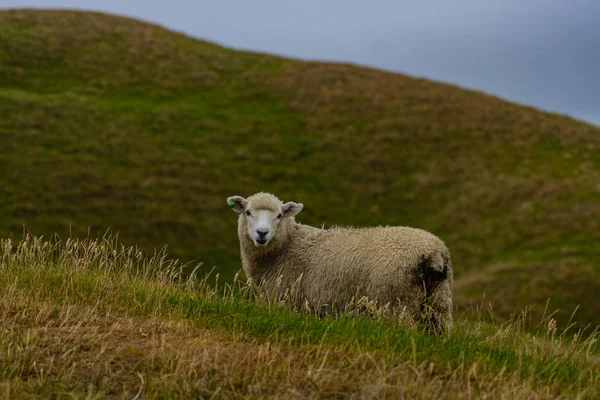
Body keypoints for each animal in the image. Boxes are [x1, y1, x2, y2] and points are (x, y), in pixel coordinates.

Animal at [227, 191, 452, 332]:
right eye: (248, 212)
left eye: (279, 215)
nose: (262, 233)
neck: (288, 246)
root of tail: (434, 253)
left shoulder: (286, 302)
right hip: (439, 304)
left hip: (397, 305)